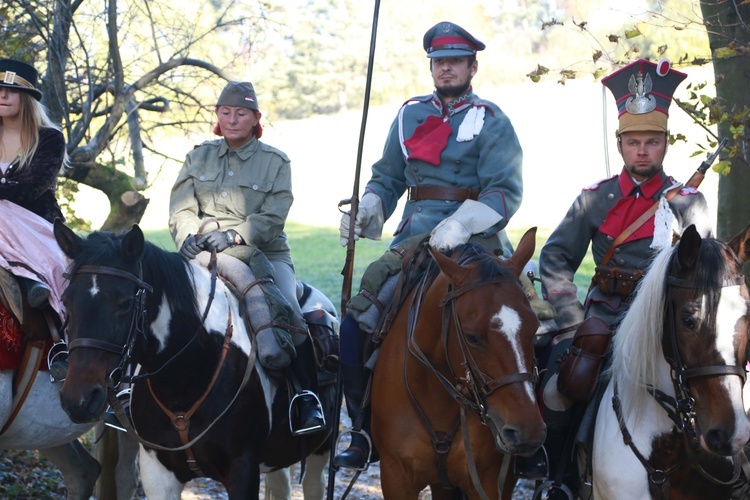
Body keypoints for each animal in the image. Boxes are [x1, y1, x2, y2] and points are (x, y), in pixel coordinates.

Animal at [55, 224, 340, 500]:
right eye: (67, 300)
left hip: (320, 451)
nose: (78, 400)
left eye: (124, 303)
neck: (187, 379)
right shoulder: (158, 474)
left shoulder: (243, 471)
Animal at [374, 229, 548, 498]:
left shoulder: (490, 482)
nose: (528, 431)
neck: (435, 398)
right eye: (471, 337)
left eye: (534, 329)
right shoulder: (396, 477)